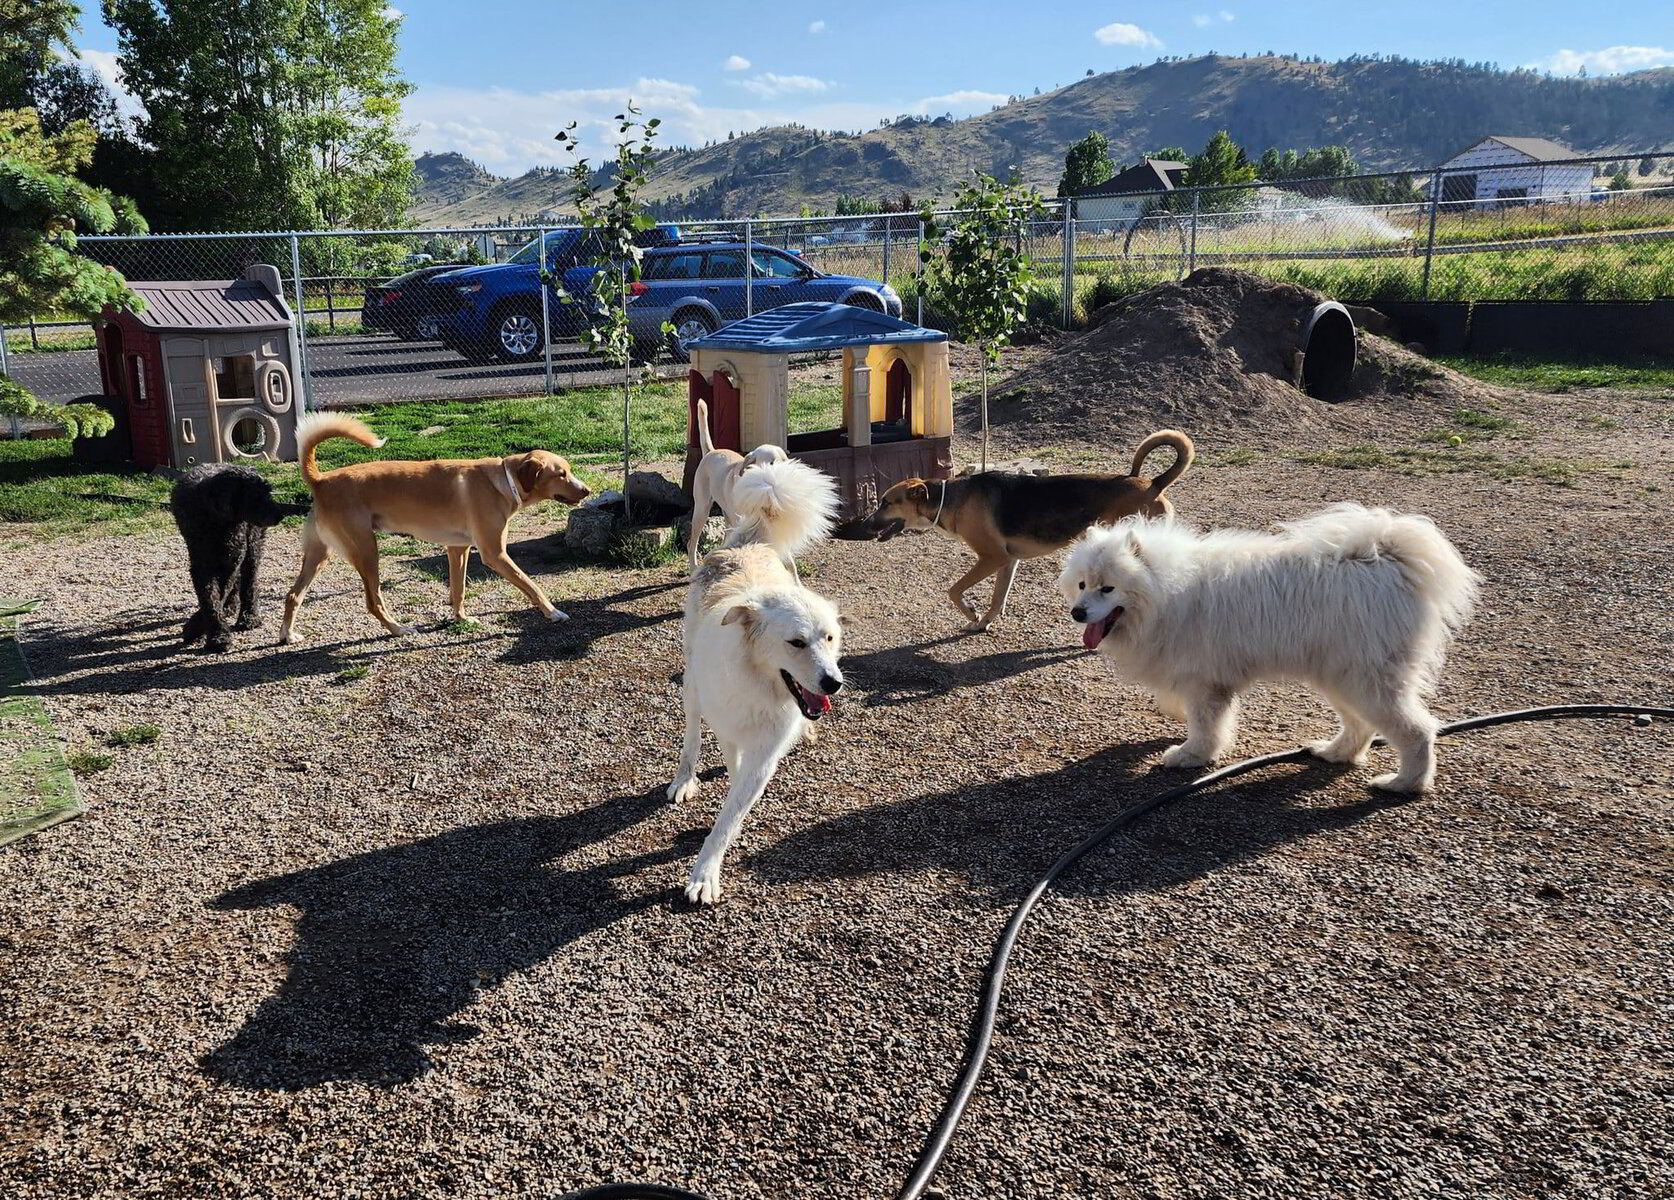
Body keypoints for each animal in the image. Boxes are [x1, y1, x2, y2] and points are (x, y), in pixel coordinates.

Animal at [171, 461, 306, 649]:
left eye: (268, 492)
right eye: (256, 496)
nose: (280, 515)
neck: (218, 522)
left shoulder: (232, 558)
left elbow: (219, 593)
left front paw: (199, 629)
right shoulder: (203, 565)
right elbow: (210, 598)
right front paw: (216, 634)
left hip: (252, 547)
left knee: (249, 582)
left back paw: (249, 616)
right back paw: (231, 607)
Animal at [287, 411, 595, 642]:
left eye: (569, 471)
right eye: (561, 474)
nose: (588, 490)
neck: (503, 481)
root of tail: (321, 480)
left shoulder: (458, 549)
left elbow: (458, 590)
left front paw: (461, 618)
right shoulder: (495, 554)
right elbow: (531, 584)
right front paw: (553, 612)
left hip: (319, 555)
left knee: (293, 595)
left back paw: (286, 635)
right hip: (366, 551)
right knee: (373, 602)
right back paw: (398, 629)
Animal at [863, 431, 1191, 635]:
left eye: (886, 503)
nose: (865, 524)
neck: (949, 497)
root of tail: (1154, 484)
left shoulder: (991, 558)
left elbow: (954, 590)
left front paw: (971, 613)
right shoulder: (1008, 561)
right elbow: (998, 599)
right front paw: (982, 623)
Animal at [1057, 505, 1479, 796]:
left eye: (1108, 588)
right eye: (1082, 585)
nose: (1078, 613)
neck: (1166, 591)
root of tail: (1386, 560)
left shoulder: (1205, 683)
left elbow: (1206, 726)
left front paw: (1191, 756)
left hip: (1364, 679)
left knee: (1417, 731)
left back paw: (1404, 784)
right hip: (1341, 676)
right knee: (1360, 725)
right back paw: (1335, 753)